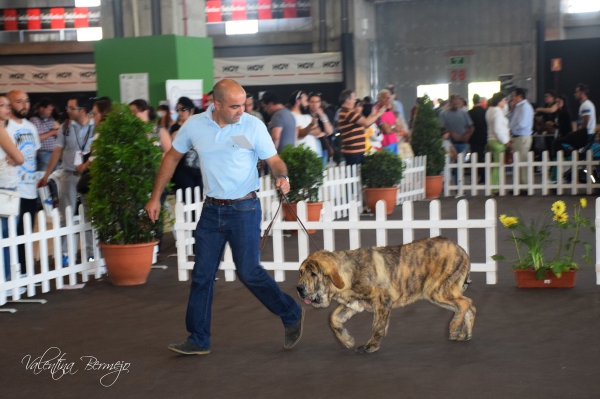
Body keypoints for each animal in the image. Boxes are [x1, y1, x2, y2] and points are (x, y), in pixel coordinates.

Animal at [296, 238, 474, 354]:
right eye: (301, 272)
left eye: (313, 274)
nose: (298, 288)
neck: (349, 273)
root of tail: (461, 249)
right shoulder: (353, 304)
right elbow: (333, 319)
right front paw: (347, 340)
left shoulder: (382, 302)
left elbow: (377, 326)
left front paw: (371, 346)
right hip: (438, 294)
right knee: (469, 307)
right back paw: (465, 333)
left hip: (437, 291)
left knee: (465, 303)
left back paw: (454, 328)